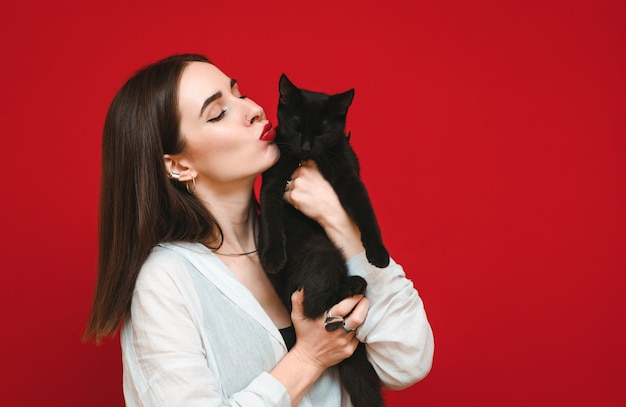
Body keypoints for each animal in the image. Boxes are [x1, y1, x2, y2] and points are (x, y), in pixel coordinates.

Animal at [258, 74, 386, 407]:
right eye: (296, 126)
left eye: (322, 131)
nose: (304, 146)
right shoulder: (273, 183)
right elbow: (271, 219)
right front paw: (273, 256)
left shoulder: (349, 177)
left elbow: (367, 214)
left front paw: (379, 253)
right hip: (320, 251)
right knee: (315, 303)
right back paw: (351, 286)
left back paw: (355, 284)